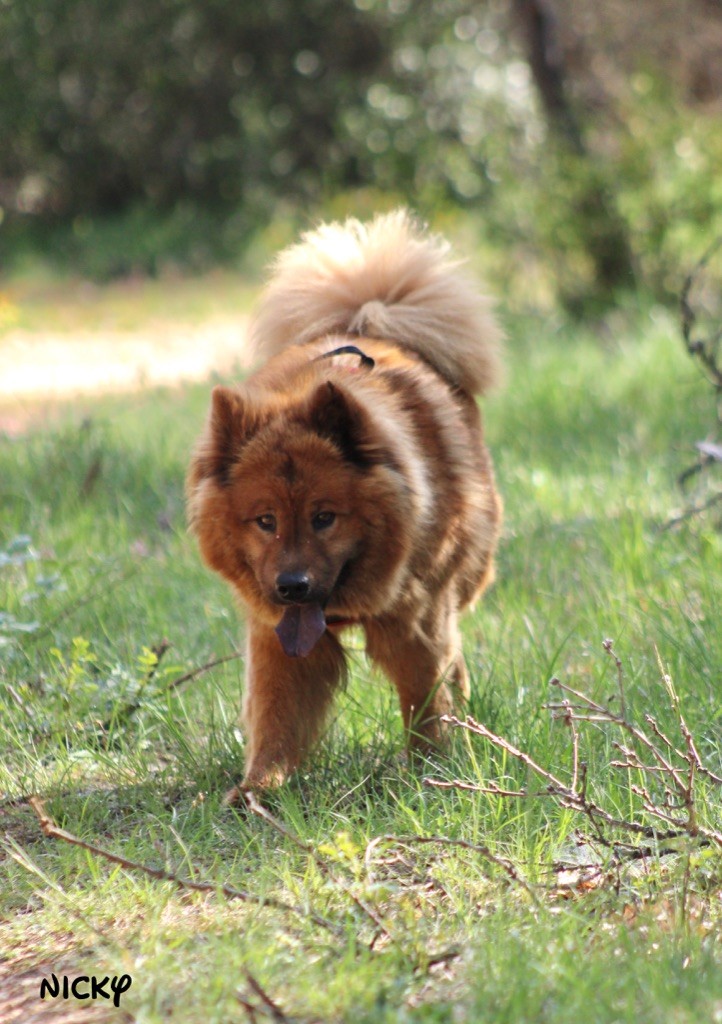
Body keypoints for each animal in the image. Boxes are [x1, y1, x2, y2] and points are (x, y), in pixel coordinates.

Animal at [186, 209, 501, 798]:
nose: (292, 586)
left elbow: (426, 701)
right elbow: (275, 715)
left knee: (455, 665)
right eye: (265, 521)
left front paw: (431, 771)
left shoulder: (417, 622)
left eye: (324, 518)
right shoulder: (277, 640)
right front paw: (260, 788)